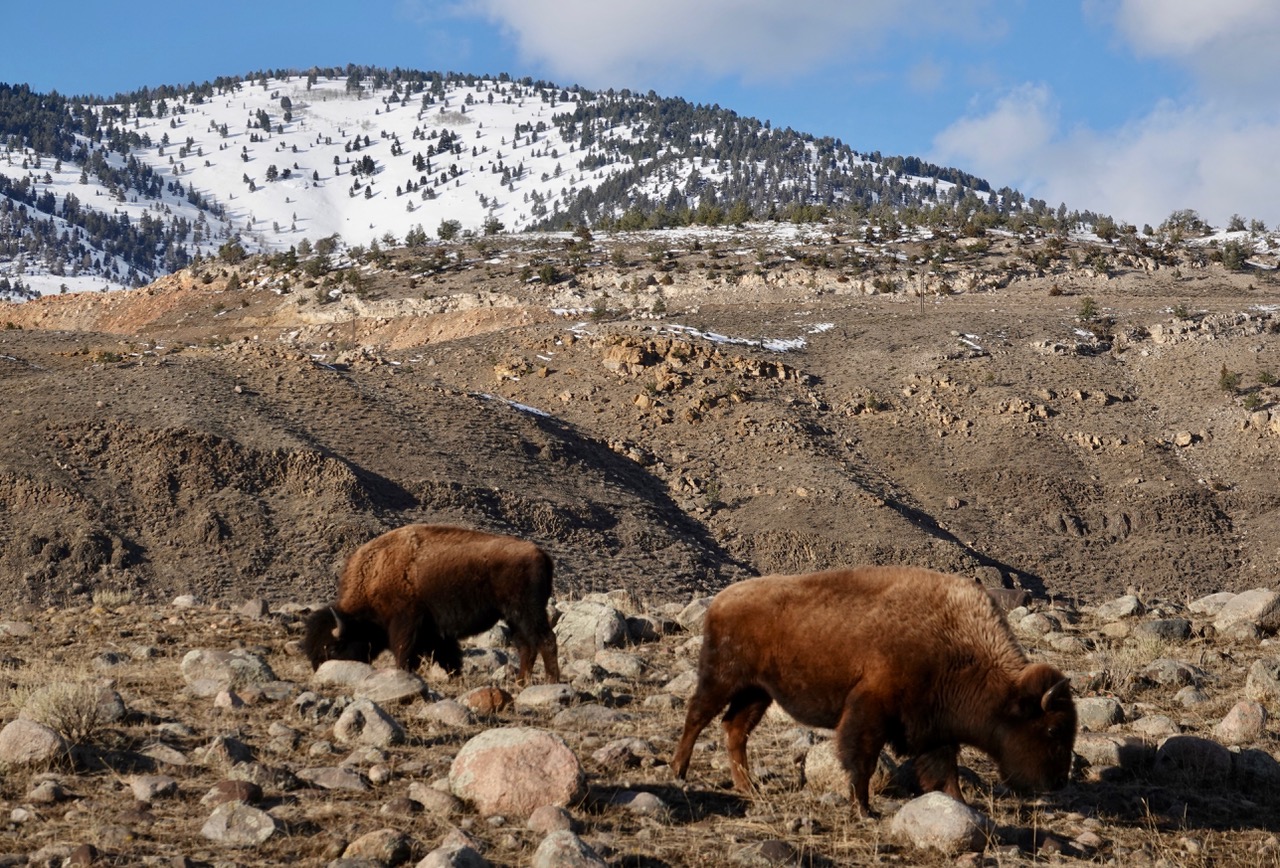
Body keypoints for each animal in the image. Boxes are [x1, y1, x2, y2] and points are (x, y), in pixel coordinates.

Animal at [302, 524, 560, 683]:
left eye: (333, 649)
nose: (321, 674)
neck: (376, 571)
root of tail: (542, 555)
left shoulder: (405, 623)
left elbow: (403, 653)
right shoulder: (437, 633)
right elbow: (450, 658)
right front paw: (455, 679)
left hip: (526, 611)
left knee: (546, 640)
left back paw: (551, 681)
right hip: (513, 616)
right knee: (526, 646)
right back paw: (520, 682)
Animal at [671, 566, 1076, 816]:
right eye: (1052, 729)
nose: (1058, 783)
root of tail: (721, 599)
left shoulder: (935, 730)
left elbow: (945, 772)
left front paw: (960, 805)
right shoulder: (870, 711)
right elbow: (861, 760)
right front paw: (863, 808)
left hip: (757, 692)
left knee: (734, 730)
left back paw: (748, 788)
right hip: (722, 679)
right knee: (696, 717)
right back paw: (679, 771)